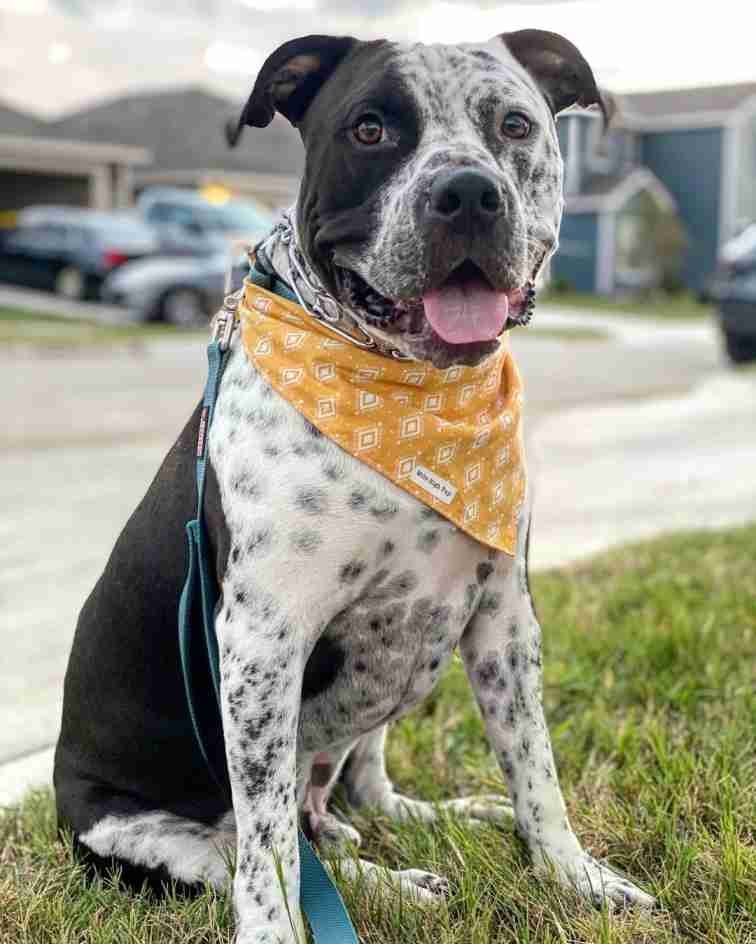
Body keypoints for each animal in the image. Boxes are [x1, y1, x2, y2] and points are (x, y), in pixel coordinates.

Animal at [54, 29, 656, 944]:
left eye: (514, 124)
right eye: (370, 129)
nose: (467, 192)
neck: (410, 398)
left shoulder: (504, 617)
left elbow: (535, 770)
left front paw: (575, 876)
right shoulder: (262, 644)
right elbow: (269, 852)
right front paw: (272, 934)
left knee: (351, 798)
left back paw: (430, 822)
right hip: (153, 827)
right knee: (266, 845)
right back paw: (391, 884)